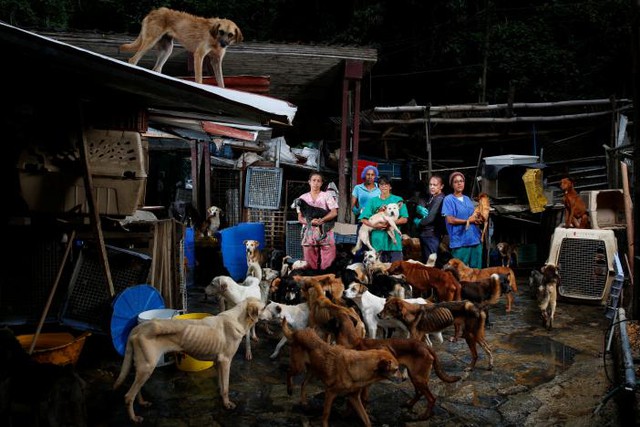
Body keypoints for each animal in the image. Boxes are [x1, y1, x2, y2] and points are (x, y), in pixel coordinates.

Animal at [114, 298, 262, 424]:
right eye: (264, 306)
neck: (238, 317)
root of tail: (138, 328)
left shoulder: (219, 362)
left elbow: (221, 384)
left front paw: (222, 397)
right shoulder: (226, 361)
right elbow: (226, 387)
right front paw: (227, 404)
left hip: (141, 367)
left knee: (136, 390)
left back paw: (142, 403)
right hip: (147, 367)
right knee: (128, 396)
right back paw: (134, 418)